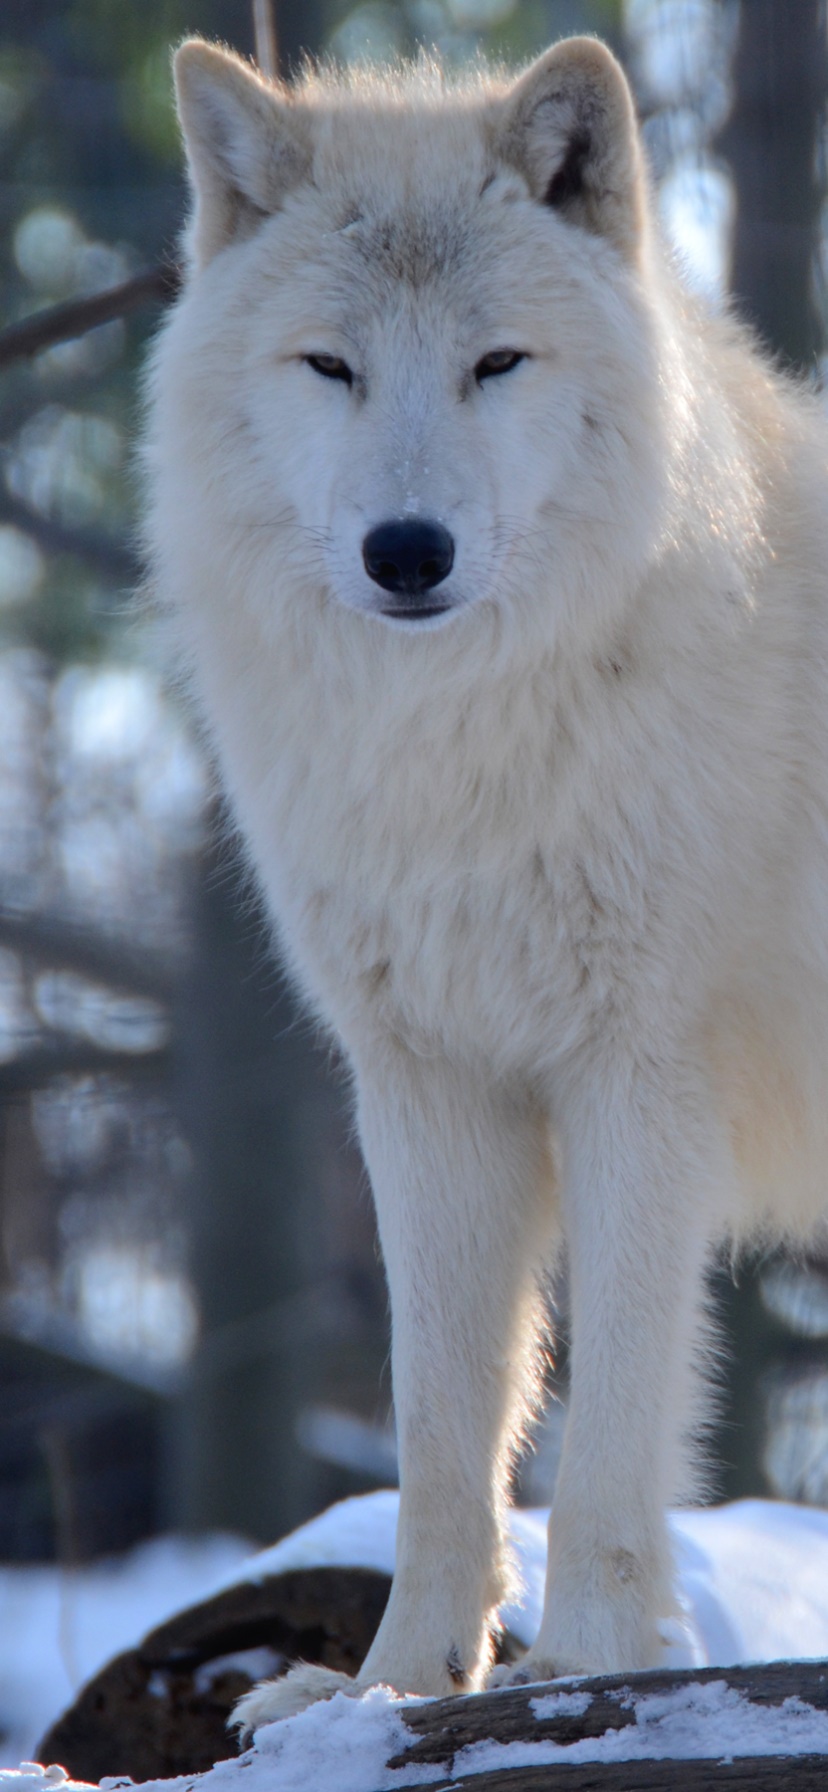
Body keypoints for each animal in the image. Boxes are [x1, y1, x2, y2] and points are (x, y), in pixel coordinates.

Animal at [144, 31, 828, 1724]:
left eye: (497, 364)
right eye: (330, 367)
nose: (407, 551)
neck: (467, 749)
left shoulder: (640, 1080)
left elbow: (608, 1435)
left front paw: (580, 1666)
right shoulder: (426, 1090)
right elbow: (444, 1436)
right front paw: (390, 1687)